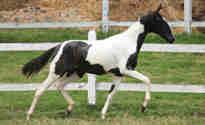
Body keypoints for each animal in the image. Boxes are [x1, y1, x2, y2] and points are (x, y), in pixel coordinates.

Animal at [22, 4, 175, 120]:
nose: (171, 39)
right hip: (56, 72)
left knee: (59, 86)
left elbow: (111, 94)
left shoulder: (118, 75)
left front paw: (102, 115)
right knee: (40, 90)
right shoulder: (127, 70)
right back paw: (29, 115)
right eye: (160, 21)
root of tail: (60, 46)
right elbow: (147, 80)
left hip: (75, 74)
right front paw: (143, 107)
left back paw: (69, 109)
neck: (128, 42)